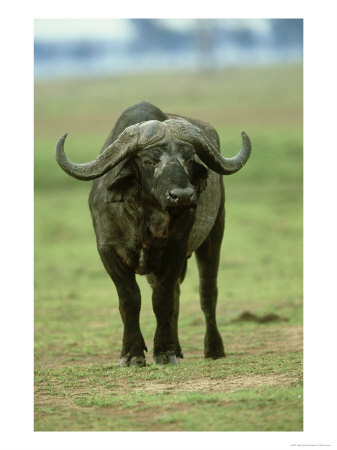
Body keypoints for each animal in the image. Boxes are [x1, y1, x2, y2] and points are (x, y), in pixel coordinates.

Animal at [55, 101, 249, 366]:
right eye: (149, 160)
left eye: (189, 158)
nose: (183, 196)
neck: (144, 219)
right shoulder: (108, 251)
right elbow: (130, 300)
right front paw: (132, 354)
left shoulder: (176, 249)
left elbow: (162, 300)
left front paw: (164, 352)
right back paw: (179, 348)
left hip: (214, 235)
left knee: (207, 292)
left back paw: (213, 348)